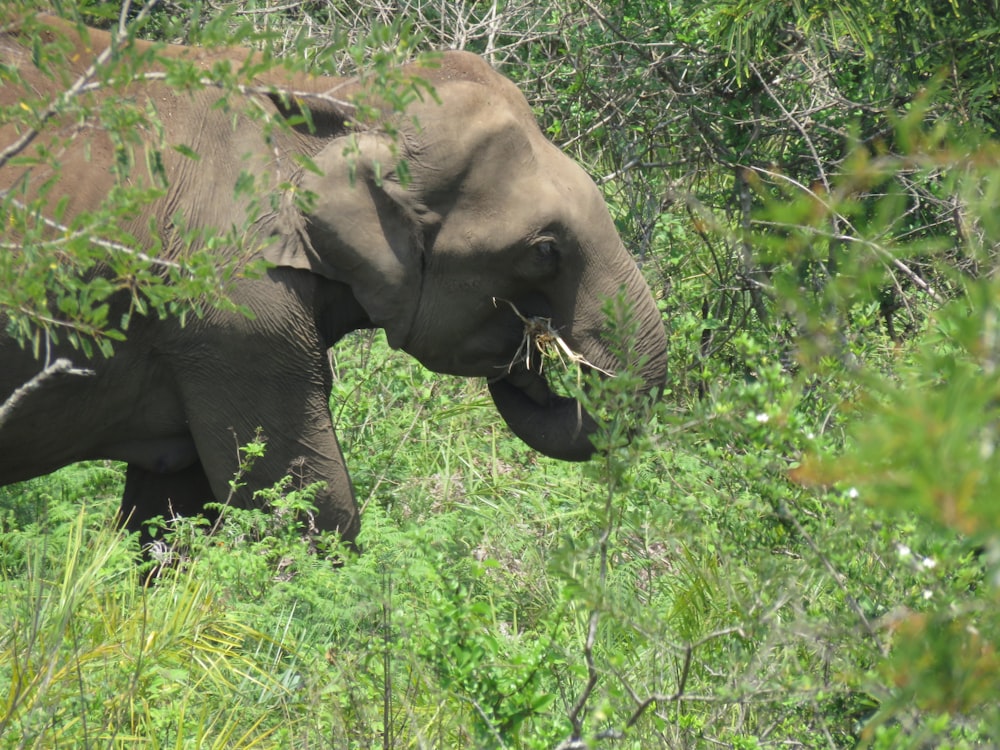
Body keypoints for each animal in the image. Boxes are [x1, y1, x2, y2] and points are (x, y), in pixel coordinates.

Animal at [1, 14, 672, 548]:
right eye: (544, 251)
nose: (532, 356)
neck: (342, 97)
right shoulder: (233, 316)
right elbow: (302, 503)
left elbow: (171, 513)